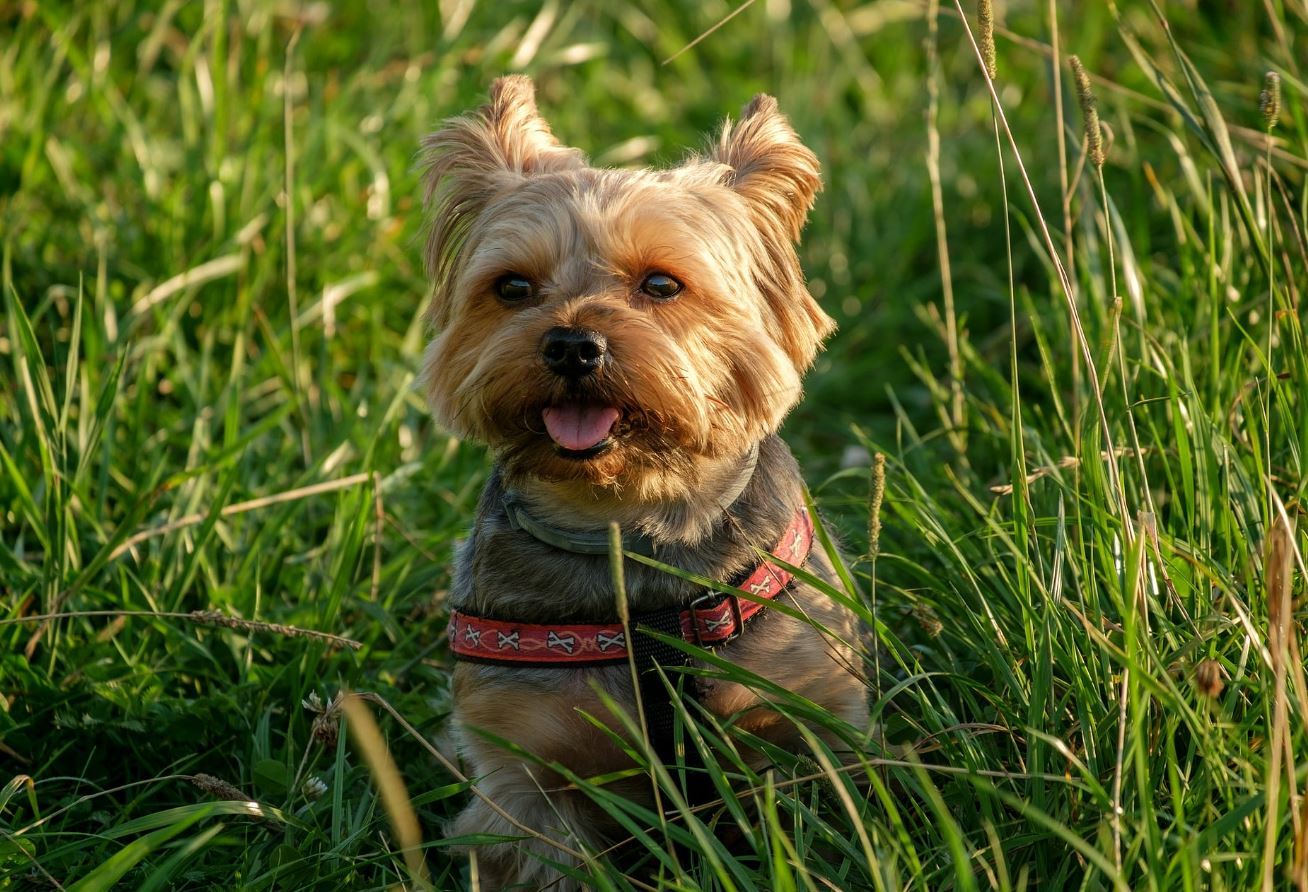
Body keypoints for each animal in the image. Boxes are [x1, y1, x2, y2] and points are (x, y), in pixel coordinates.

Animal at [421, 78, 868, 889]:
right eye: (512, 287)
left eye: (662, 284)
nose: (572, 344)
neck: (631, 525)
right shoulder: (523, 772)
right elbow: (546, 855)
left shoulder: (807, 720)